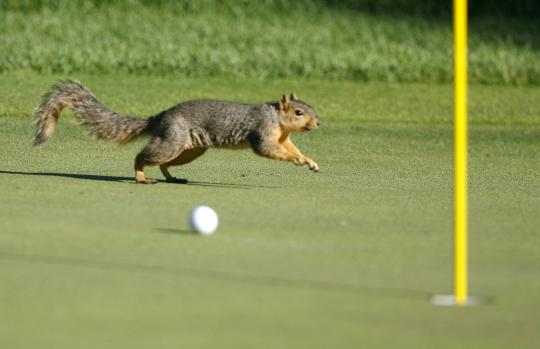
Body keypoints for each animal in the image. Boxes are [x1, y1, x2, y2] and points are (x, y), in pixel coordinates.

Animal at [32, 78, 320, 182]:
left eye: (309, 107)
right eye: (298, 112)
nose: (317, 123)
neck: (277, 119)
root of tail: (159, 118)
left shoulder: (283, 136)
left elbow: (291, 148)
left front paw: (309, 161)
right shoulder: (263, 132)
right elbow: (268, 149)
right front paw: (297, 160)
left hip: (189, 150)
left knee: (164, 164)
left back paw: (171, 178)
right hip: (172, 141)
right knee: (143, 157)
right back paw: (141, 177)